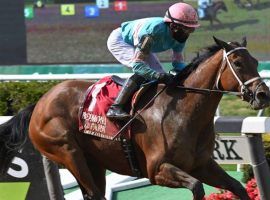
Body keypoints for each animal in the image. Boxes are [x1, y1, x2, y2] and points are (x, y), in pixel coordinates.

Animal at [0, 36, 270, 199]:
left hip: (94, 161)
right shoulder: (157, 170)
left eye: (256, 60)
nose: (263, 94)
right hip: (67, 153)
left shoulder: (202, 165)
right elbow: (196, 188)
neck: (183, 114)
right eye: (237, 62)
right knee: (94, 193)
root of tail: (39, 103)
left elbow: (237, 187)